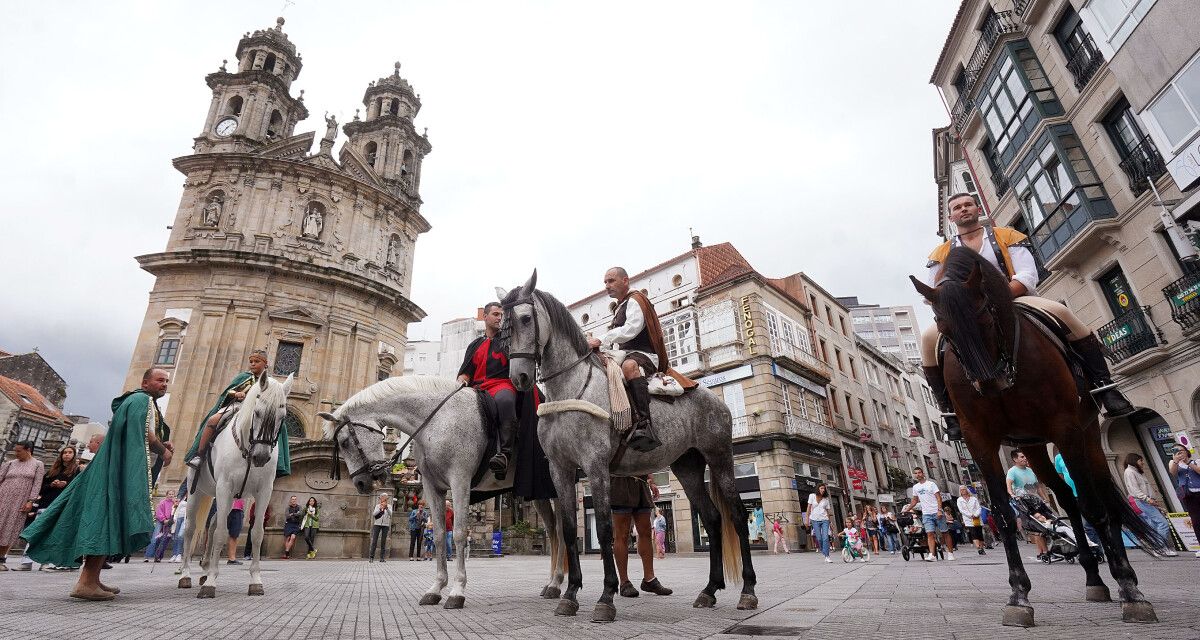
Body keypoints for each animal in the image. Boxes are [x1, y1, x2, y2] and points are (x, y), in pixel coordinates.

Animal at [175, 369, 292, 593]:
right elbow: (221, 532)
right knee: (191, 529)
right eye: (257, 412)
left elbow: (257, 533)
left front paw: (255, 580)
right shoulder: (225, 487)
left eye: (283, 417)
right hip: (197, 491)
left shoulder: (264, 491)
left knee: (211, 525)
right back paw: (186, 574)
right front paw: (211, 583)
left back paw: (204, 568)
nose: (261, 457)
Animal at [316, 377, 564, 605]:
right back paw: (551, 583)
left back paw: (557, 583)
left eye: (345, 442)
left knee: (561, 529)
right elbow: (438, 535)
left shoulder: (460, 480)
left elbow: (460, 533)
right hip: (537, 492)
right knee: (552, 530)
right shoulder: (431, 486)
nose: (361, 484)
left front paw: (457, 590)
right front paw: (436, 588)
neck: (437, 420)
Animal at [499, 272, 758, 619]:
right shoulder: (560, 470)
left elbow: (605, 529)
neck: (572, 387)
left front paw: (606, 597)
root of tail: (711, 398)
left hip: (719, 458)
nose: (521, 377)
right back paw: (709, 590)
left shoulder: (595, 466)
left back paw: (747, 591)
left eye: (526, 318)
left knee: (738, 516)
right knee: (713, 519)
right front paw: (570, 594)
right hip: (688, 466)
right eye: (503, 327)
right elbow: (568, 530)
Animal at [907, 247, 1161, 624]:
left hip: (1087, 435)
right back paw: (1093, 578)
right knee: (1067, 500)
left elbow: (1093, 507)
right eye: (942, 326)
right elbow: (1003, 515)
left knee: (1101, 500)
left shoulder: (1066, 428)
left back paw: (1122, 578)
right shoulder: (979, 439)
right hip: (1035, 448)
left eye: (986, 312)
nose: (989, 385)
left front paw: (1130, 592)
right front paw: (1018, 595)